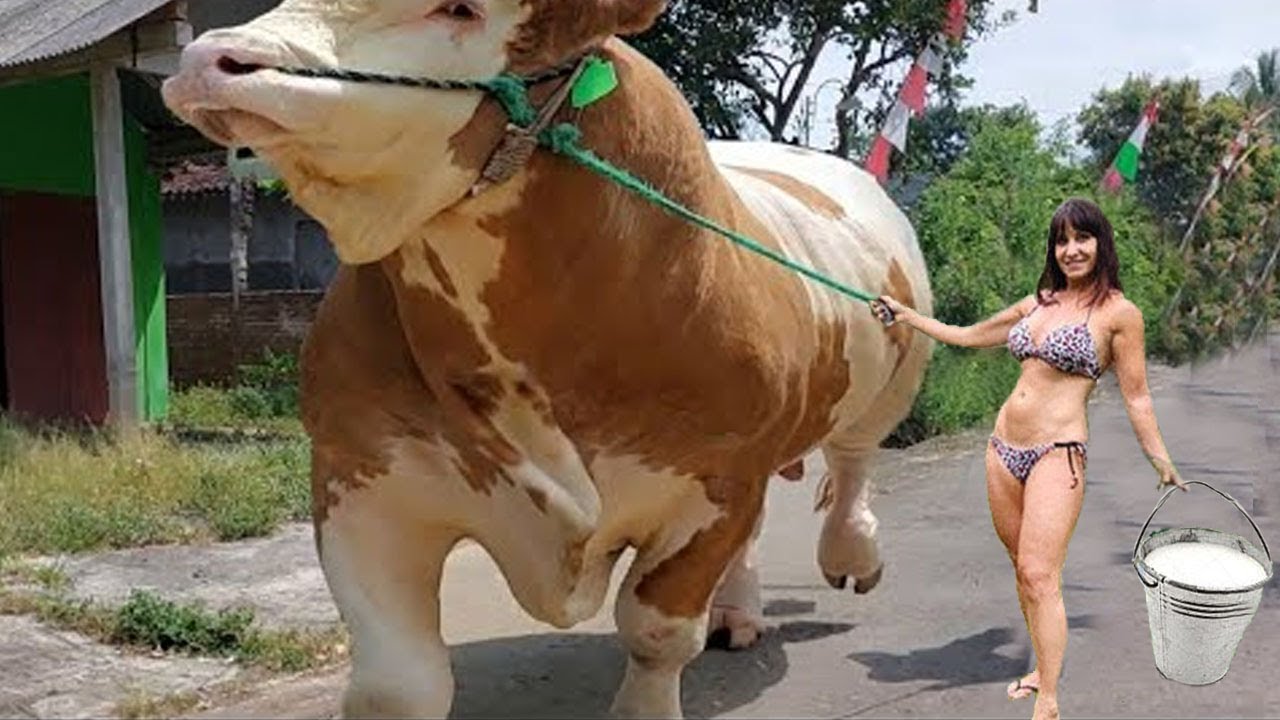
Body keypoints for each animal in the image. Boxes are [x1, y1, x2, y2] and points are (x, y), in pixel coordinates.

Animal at [162, 1, 933, 717]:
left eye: (462, 9)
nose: (211, 58)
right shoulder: (362, 478)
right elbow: (398, 680)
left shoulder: (716, 480)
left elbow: (656, 631)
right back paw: (737, 614)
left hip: (897, 372)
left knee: (852, 464)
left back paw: (852, 556)